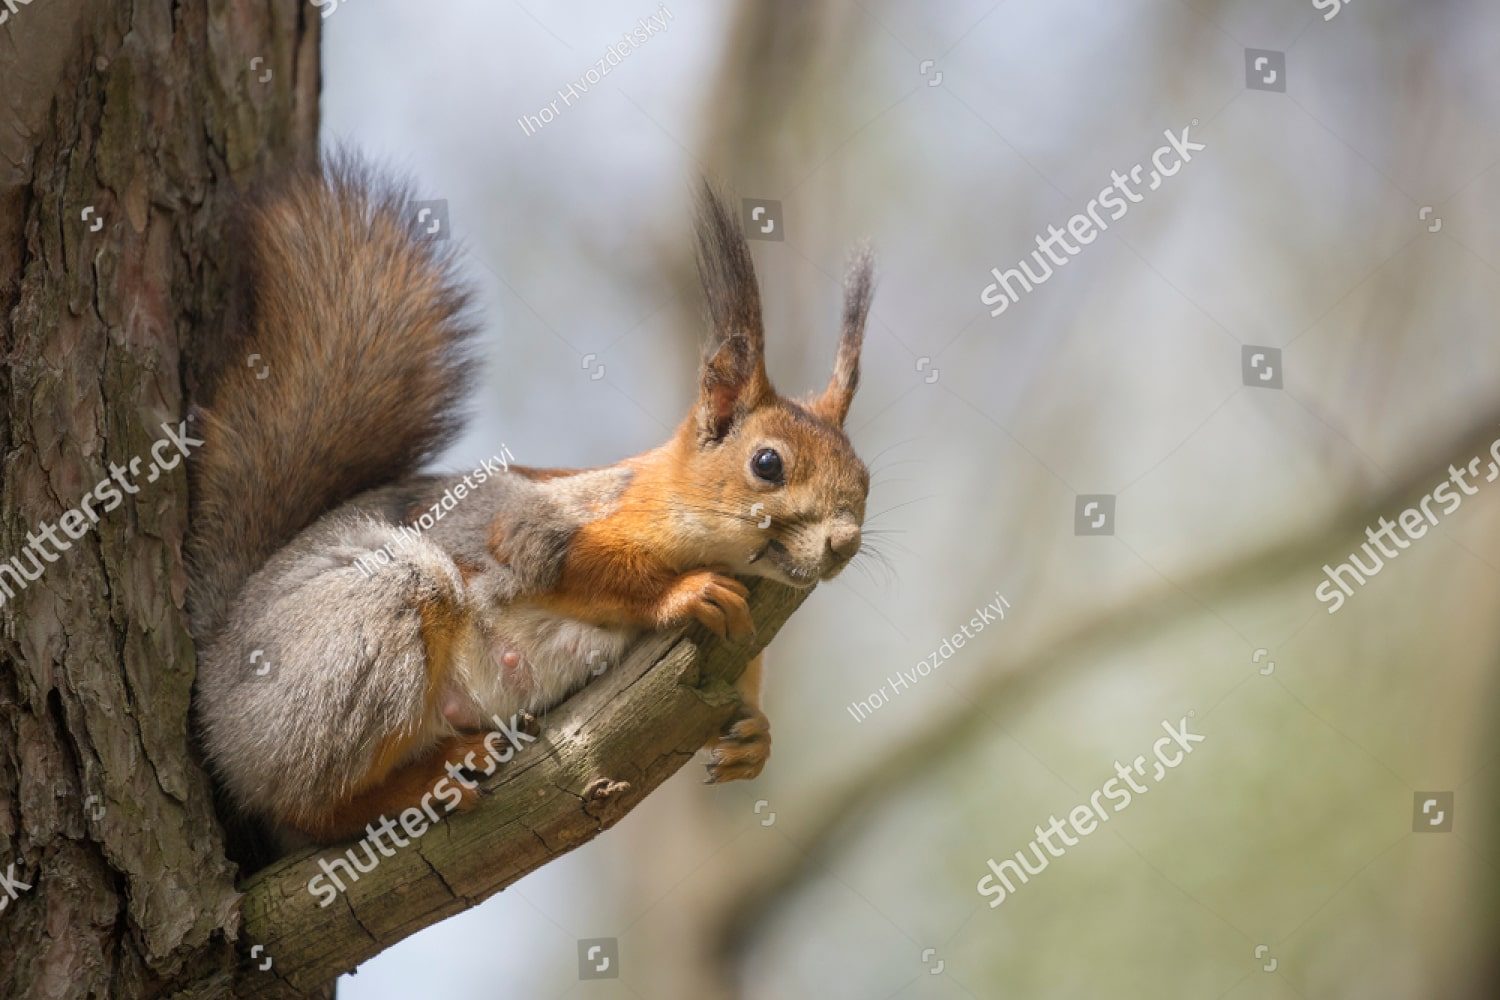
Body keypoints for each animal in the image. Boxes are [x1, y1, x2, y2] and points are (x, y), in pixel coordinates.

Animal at [187, 155, 874, 846]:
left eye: (865, 477)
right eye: (767, 463)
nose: (844, 543)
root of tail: (217, 689)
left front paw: (755, 736)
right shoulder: (543, 526)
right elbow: (577, 565)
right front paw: (684, 592)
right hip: (371, 618)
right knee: (305, 806)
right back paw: (423, 782)